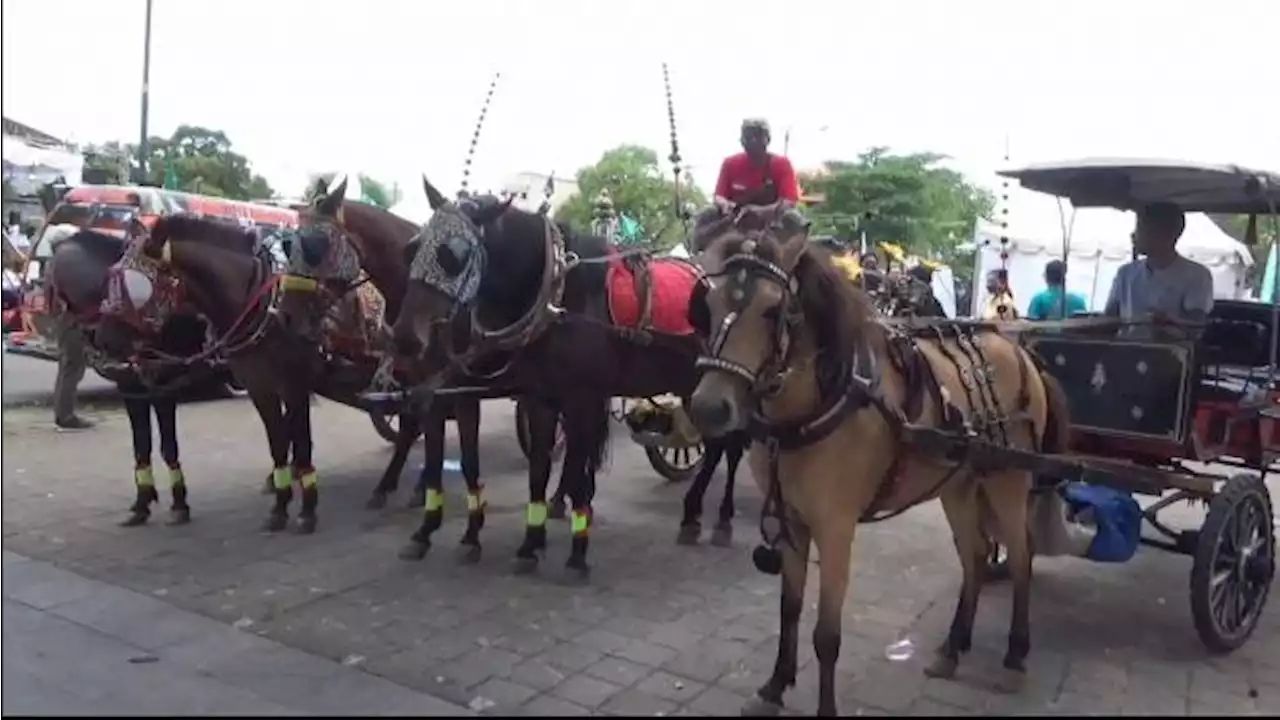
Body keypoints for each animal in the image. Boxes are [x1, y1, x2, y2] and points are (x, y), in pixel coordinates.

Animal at [389, 178, 747, 576]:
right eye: (412, 248)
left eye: (454, 255)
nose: (404, 337)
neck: (558, 297)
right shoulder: (535, 396)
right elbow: (538, 466)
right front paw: (530, 541)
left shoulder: (581, 396)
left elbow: (575, 464)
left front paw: (577, 549)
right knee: (717, 444)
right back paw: (692, 515)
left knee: (729, 445)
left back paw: (720, 519)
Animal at [680, 204, 1070, 712]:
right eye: (705, 305)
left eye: (770, 309)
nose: (710, 408)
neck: (822, 398)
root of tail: (1020, 352)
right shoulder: (792, 520)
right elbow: (789, 608)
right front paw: (775, 684)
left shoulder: (835, 526)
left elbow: (826, 634)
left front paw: (824, 706)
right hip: (959, 483)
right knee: (976, 554)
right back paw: (953, 647)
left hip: (1007, 480)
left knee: (1020, 555)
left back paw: (1015, 655)